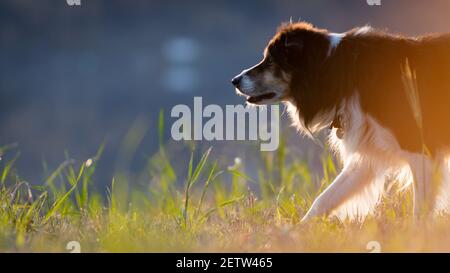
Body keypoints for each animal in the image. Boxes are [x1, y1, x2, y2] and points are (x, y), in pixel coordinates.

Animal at [232, 21, 450, 221]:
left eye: (270, 61)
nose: (234, 80)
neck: (341, 74)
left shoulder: (420, 149)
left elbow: (420, 211)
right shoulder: (369, 154)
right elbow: (324, 199)